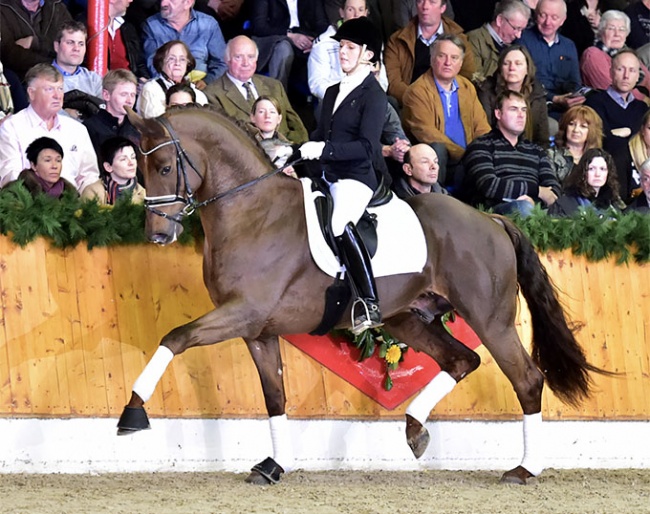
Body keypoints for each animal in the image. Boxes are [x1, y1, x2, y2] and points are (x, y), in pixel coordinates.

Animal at [117, 107, 604, 484]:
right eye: (139, 169)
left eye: (164, 168)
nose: (157, 235)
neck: (252, 213)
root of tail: (491, 220)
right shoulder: (258, 329)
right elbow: (274, 396)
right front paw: (274, 465)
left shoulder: (242, 313)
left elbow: (174, 338)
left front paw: (132, 414)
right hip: (407, 317)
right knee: (462, 360)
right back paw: (415, 430)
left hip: (491, 320)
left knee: (526, 378)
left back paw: (524, 469)